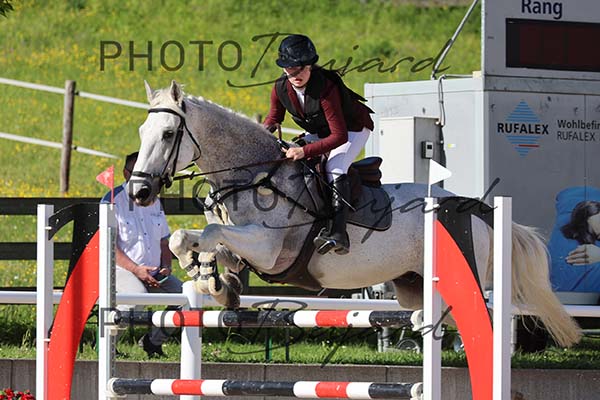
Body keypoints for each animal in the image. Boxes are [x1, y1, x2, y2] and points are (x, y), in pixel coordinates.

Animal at [127, 80, 581, 348]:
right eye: (142, 133)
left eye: (168, 134)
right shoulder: (243, 245)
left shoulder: (270, 249)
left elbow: (208, 235)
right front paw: (213, 282)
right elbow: (190, 240)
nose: (139, 191)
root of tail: (474, 207)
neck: (252, 174)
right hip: (409, 283)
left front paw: (208, 275)